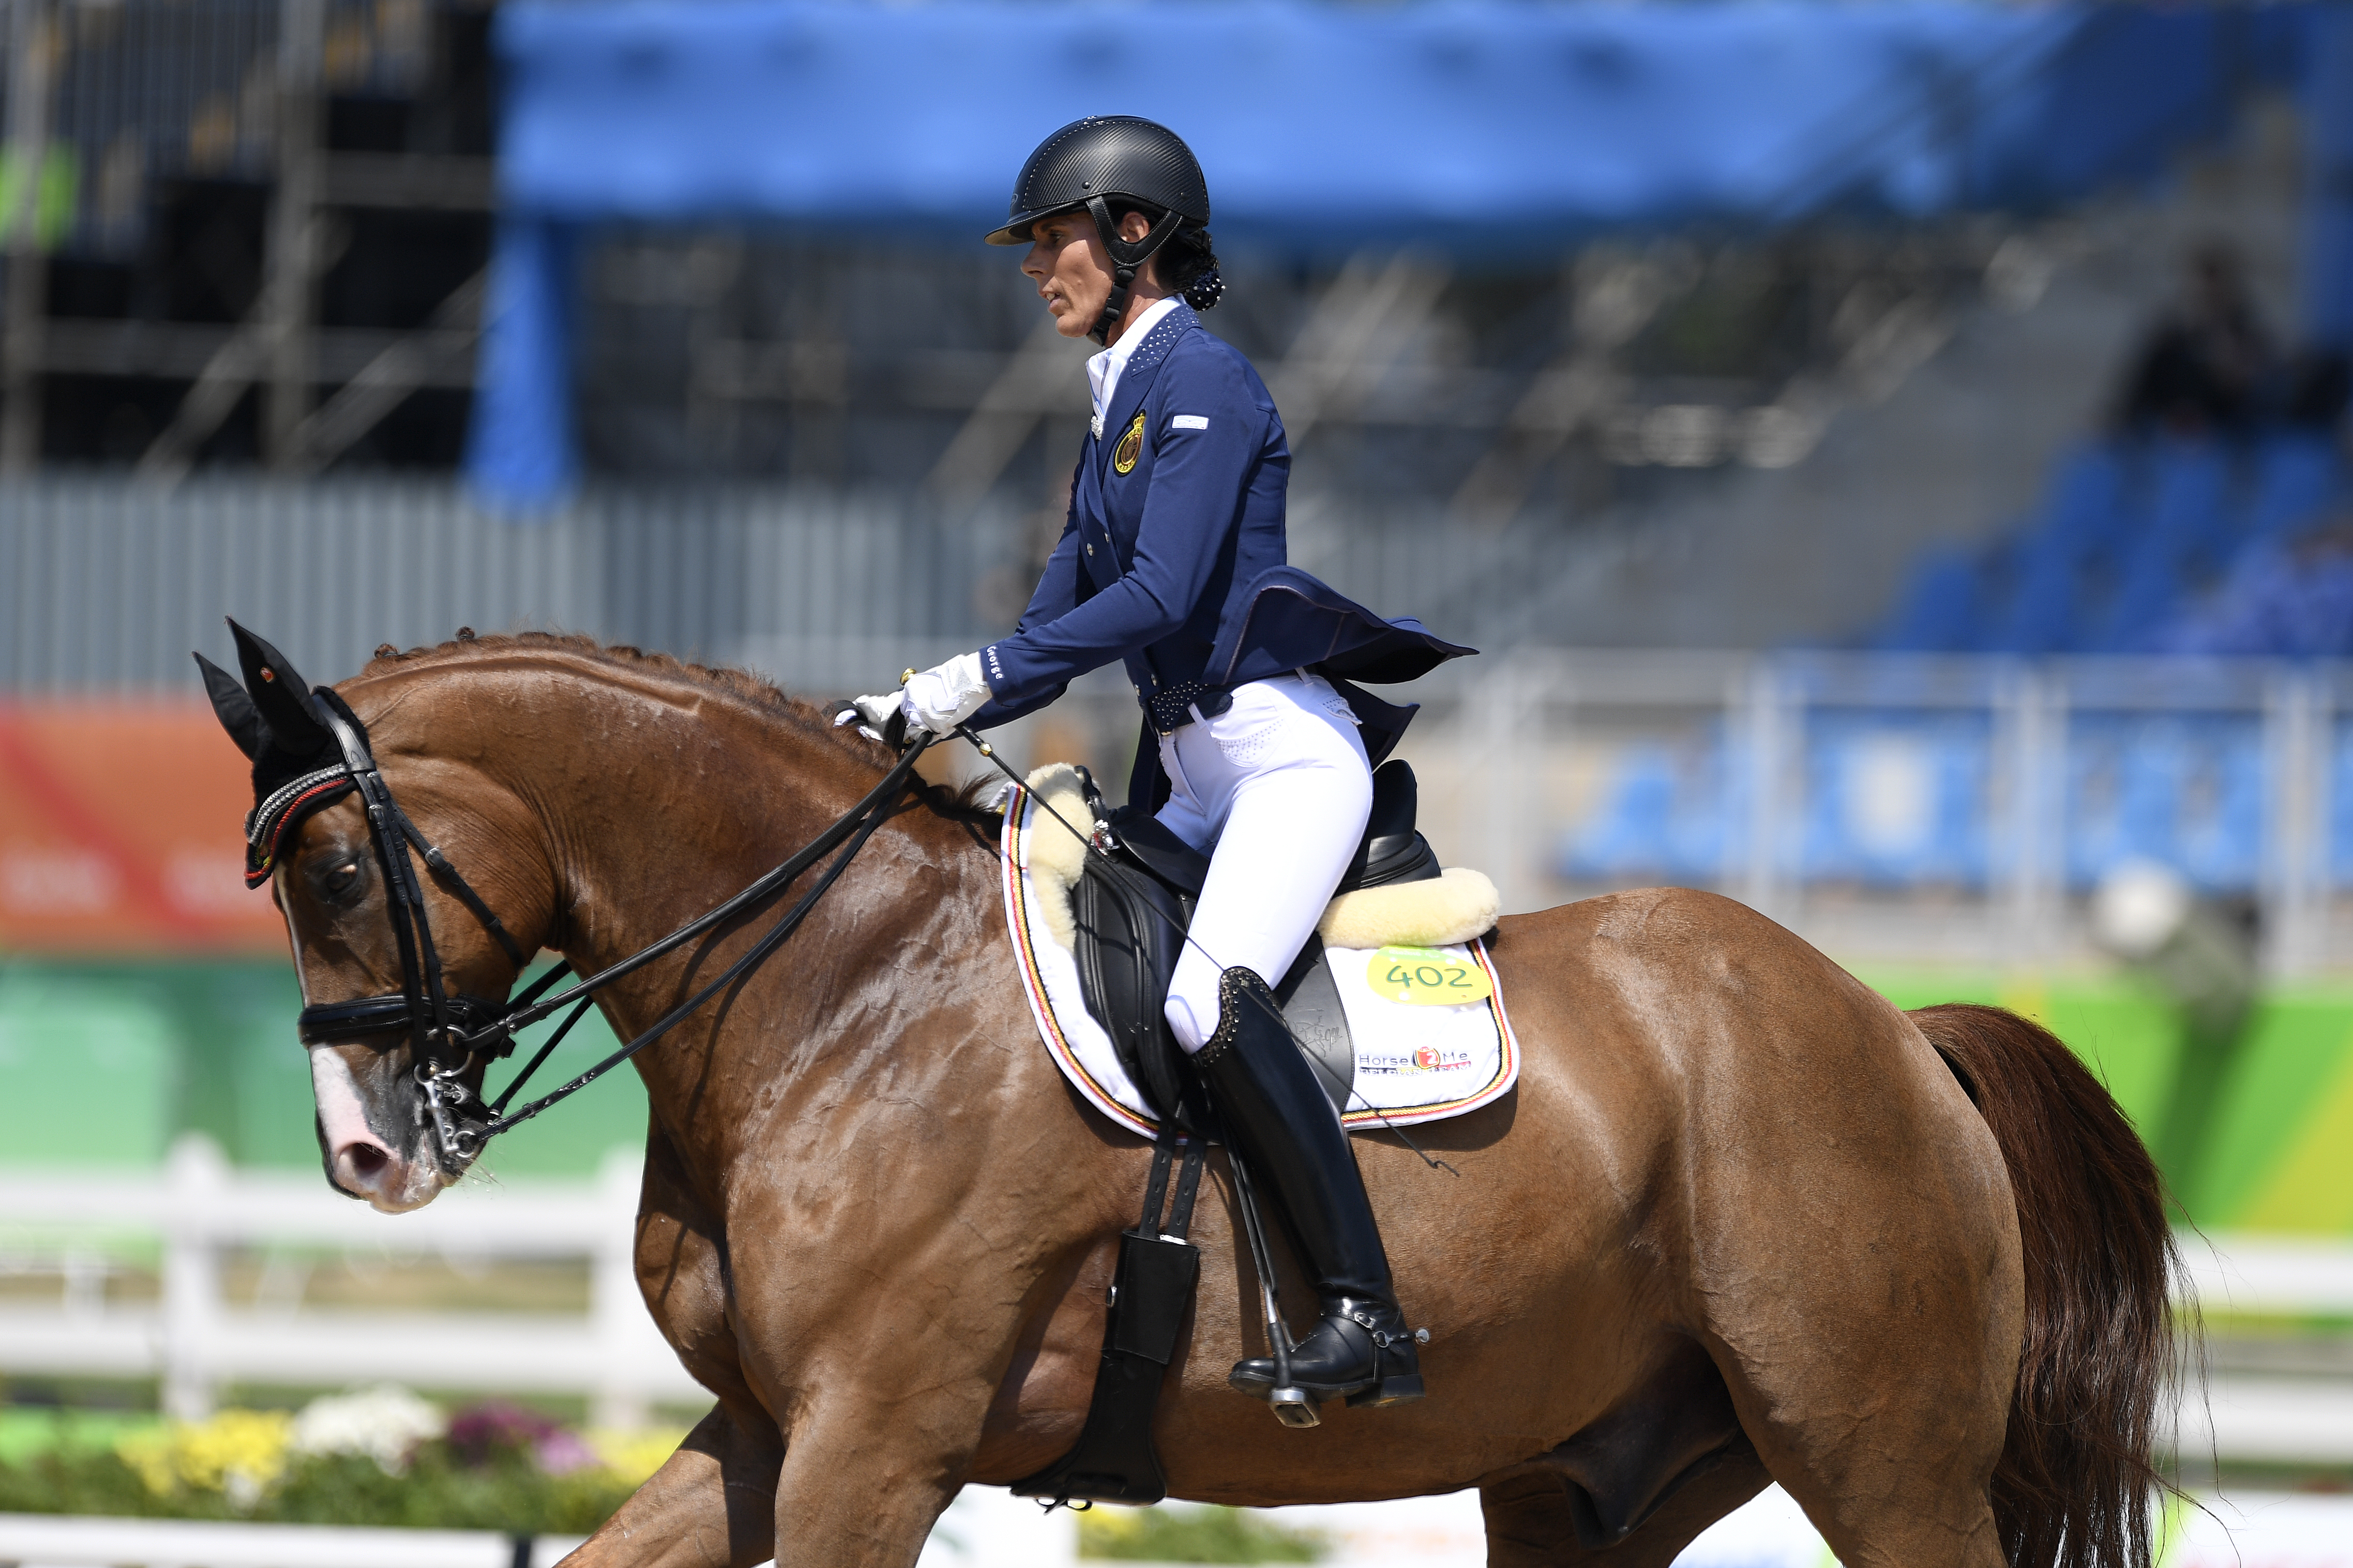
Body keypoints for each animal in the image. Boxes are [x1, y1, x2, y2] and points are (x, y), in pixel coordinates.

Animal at [253, 634, 2165, 1568]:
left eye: (339, 869)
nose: (361, 1149)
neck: (839, 984)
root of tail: (1895, 1030)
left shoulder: (875, 1442)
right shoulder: (770, 1430)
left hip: (1876, 1454)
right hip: (1595, 1481)